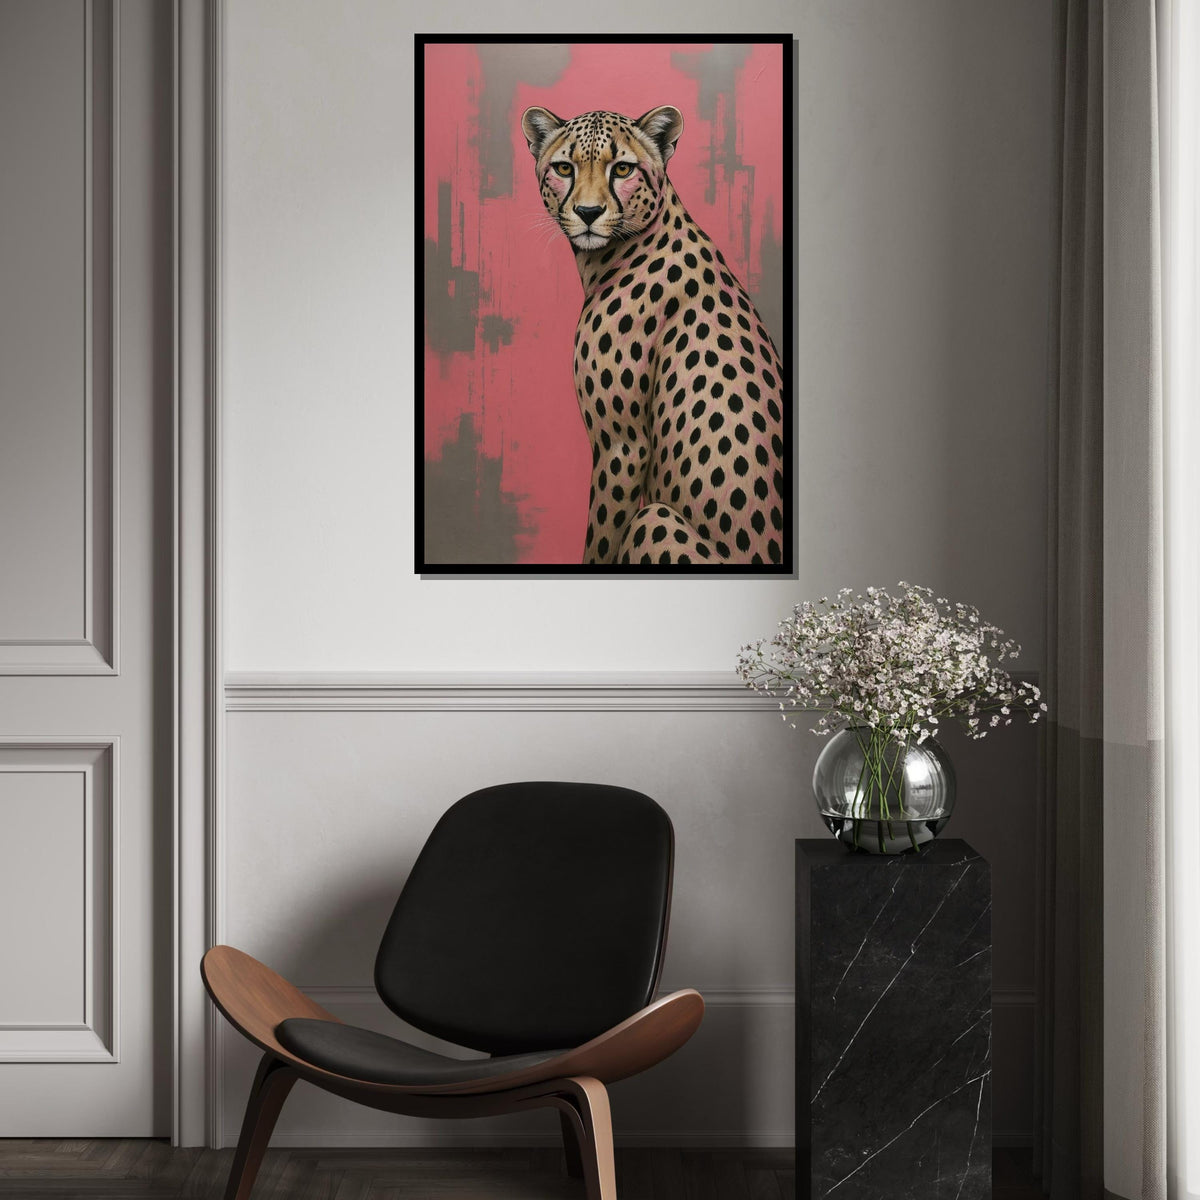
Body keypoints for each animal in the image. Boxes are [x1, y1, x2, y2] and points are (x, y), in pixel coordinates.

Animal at [520, 103, 786, 567]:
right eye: (565, 168)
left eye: (623, 168)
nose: (588, 213)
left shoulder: (621, 446)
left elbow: (601, 542)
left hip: (653, 519)